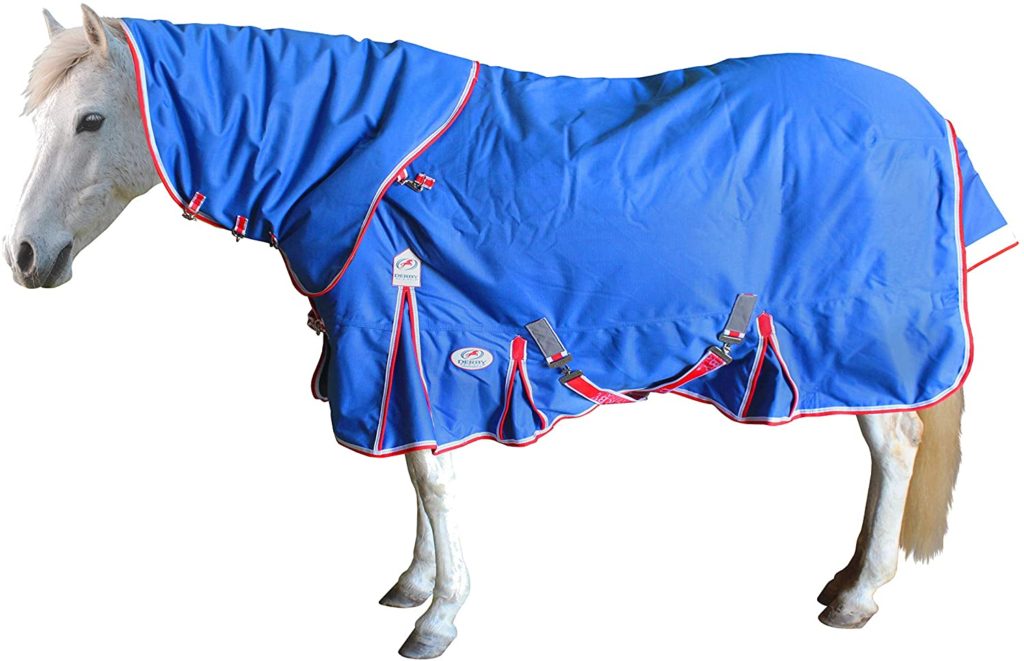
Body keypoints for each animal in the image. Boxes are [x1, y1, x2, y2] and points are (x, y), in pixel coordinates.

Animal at [5, 6, 1015, 658]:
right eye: (42, 117)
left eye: (90, 118)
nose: (23, 255)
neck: (358, 158)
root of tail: (927, 113)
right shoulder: (403, 347)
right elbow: (413, 463)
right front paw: (414, 583)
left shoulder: (422, 333)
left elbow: (432, 476)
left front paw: (438, 617)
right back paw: (846, 580)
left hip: (860, 327)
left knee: (895, 443)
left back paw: (860, 594)